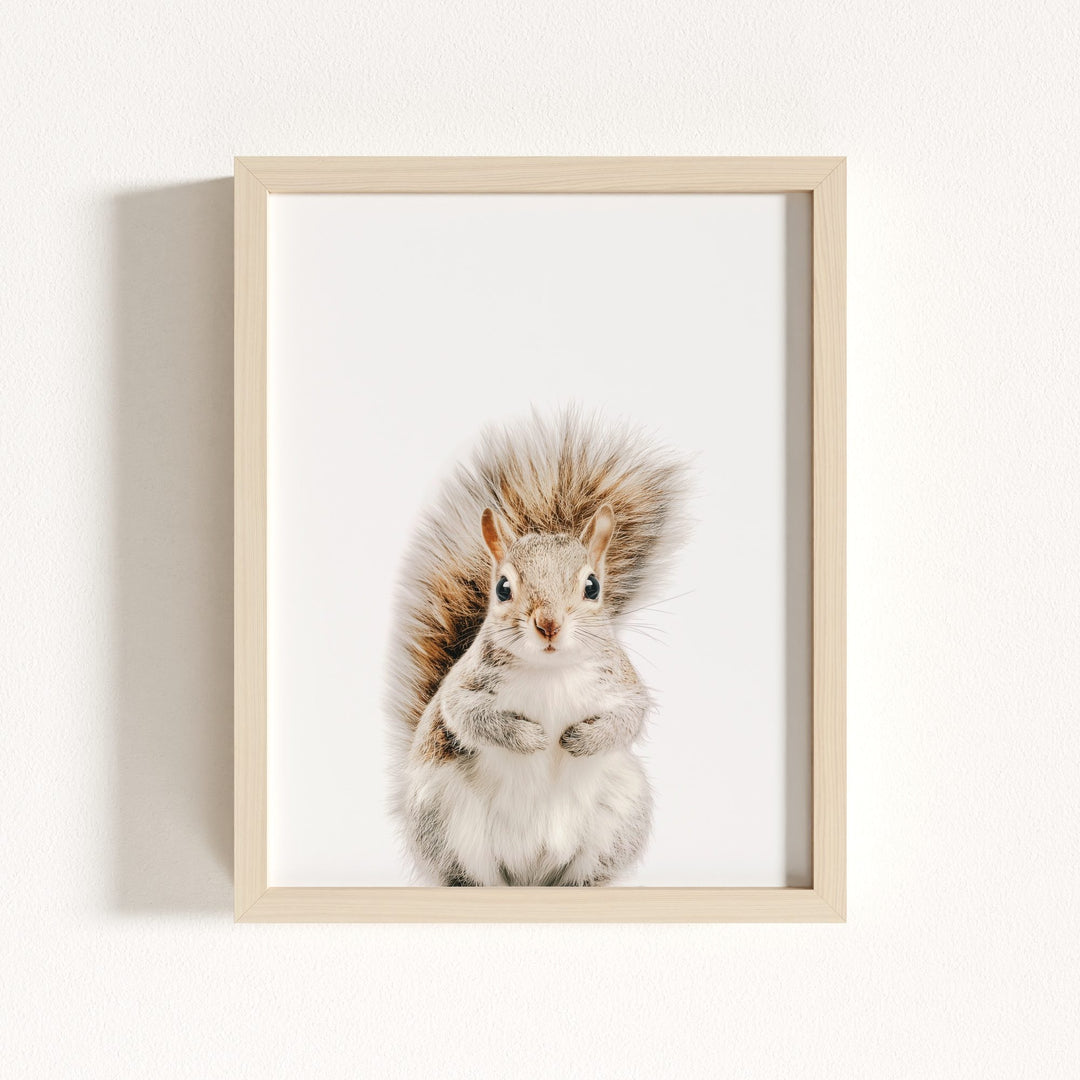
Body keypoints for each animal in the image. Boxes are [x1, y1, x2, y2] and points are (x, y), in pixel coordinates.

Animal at [386, 409, 690, 886]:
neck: (550, 672)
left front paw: (579, 739)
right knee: (473, 873)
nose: (548, 624)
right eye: (502, 588)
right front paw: (531, 737)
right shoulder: (463, 687)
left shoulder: (622, 683)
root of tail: (530, 873)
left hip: (619, 818)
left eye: (592, 586)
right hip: (444, 820)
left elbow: (628, 717)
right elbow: (467, 716)